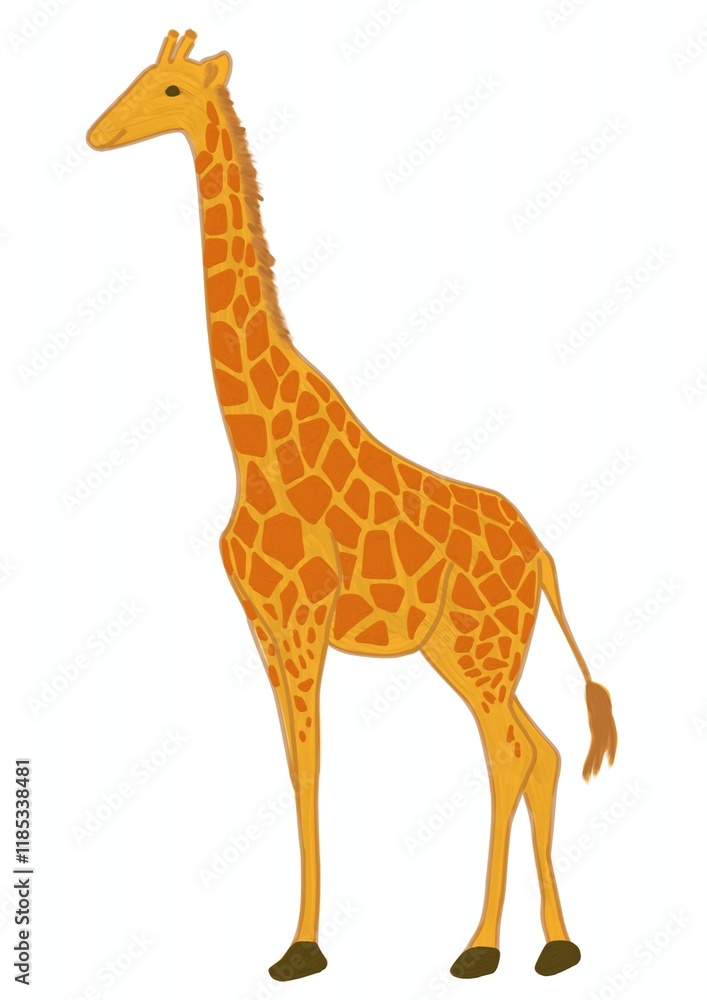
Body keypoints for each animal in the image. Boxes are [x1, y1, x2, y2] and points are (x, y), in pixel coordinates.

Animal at [87, 30, 617, 982]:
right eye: (139, 78)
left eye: (171, 89)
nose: (95, 134)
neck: (250, 443)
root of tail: (542, 554)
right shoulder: (263, 621)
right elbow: (295, 767)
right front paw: (298, 939)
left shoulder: (303, 616)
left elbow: (314, 764)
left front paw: (302, 948)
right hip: (464, 649)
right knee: (544, 750)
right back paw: (554, 946)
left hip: (482, 645)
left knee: (510, 751)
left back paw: (481, 947)